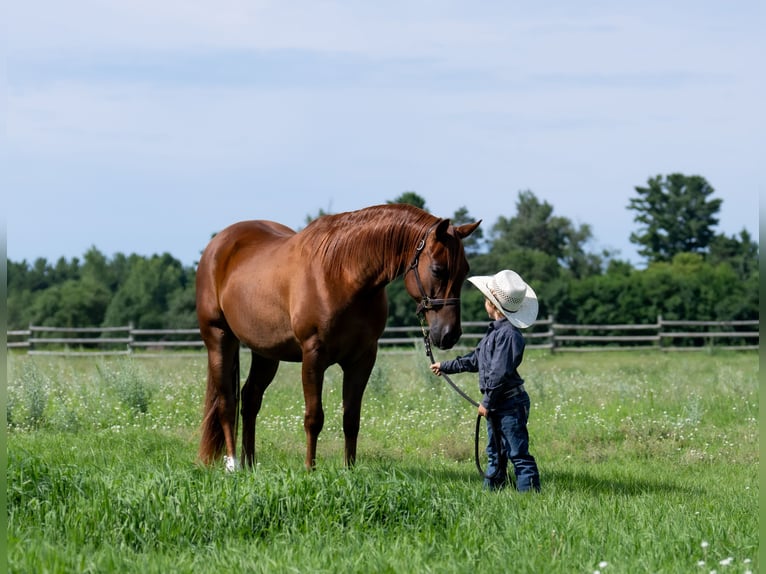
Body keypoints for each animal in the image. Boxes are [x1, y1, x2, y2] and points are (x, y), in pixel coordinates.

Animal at [196, 203, 481, 470]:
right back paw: (234, 465)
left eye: (465, 270)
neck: (341, 274)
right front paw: (310, 469)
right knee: (226, 403)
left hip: (265, 353)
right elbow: (314, 418)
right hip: (219, 339)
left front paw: (349, 469)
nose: (449, 334)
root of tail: (216, 245)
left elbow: (351, 418)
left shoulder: (362, 359)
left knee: (250, 399)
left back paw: (251, 463)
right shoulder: (313, 356)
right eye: (437, 269)